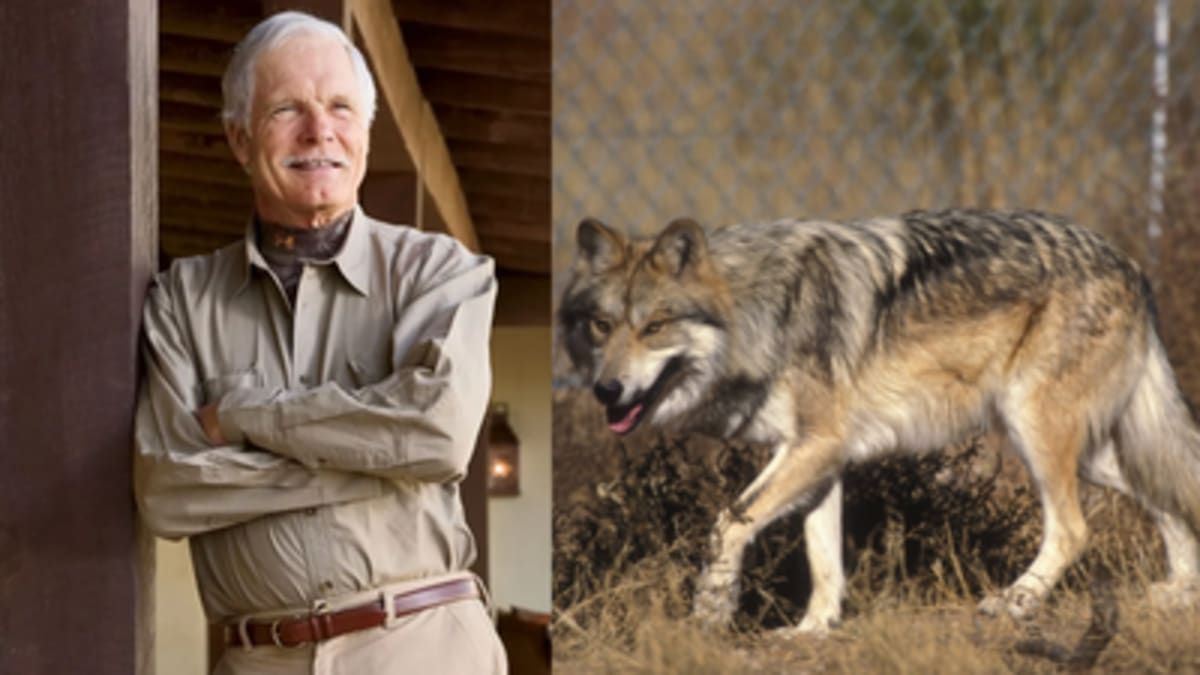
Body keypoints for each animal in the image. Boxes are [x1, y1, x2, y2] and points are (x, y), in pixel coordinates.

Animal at [558, 208, 1200, 633]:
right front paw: (811, 633)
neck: (760, 313)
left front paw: (712, 610)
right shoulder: (820, 458)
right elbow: (824, 561)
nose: (607, 390)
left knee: (1073, 530)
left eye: (654, 327)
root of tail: (1129, 263)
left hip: (1037, 435)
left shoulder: (816, 446)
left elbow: (726, 524)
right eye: (601, 326)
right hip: (1093, 453)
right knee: (1169, 497)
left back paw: (1014, 603)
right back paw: (1180, 595)